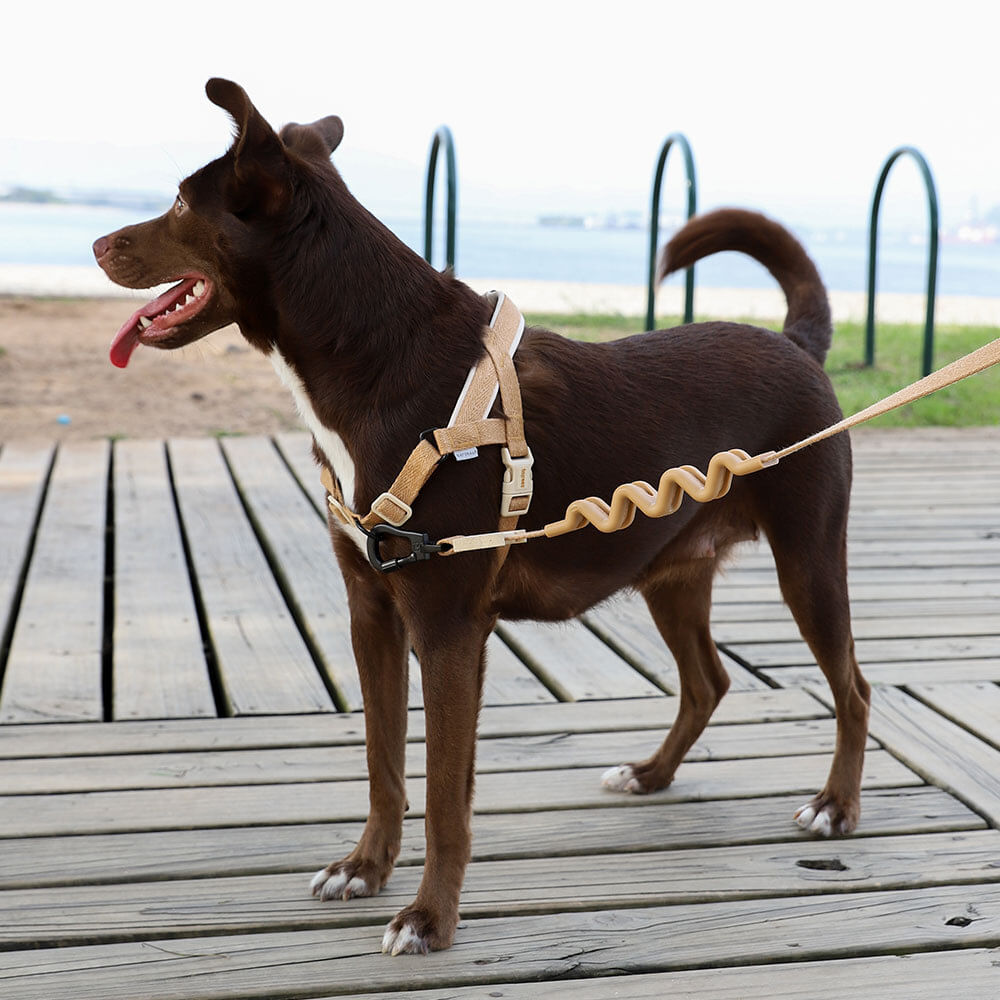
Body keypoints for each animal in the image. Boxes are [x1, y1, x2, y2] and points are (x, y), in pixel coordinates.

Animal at [97, 78, 872, 952]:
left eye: (177, 203)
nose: (96, 244)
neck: (377, 353)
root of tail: (797, 345)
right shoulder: (373, 613)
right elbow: (385, 764)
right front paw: (364, 868)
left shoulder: (448, 627)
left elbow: (442, 794)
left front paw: (430, 917)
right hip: (670, 572)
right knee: (708, 681)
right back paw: (651, 774)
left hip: (808, 561)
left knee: (852, 688)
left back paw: (836, 807)